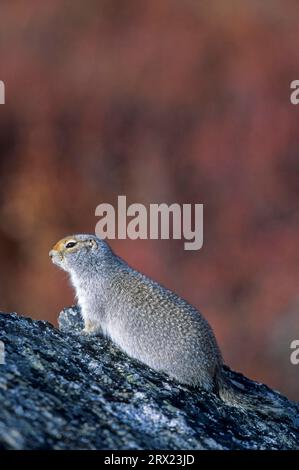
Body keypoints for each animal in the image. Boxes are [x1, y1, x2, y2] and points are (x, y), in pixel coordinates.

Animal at [49, 232, 290, 414]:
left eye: (70, 245)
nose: (50, 254)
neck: (97, 267)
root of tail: (216, 362)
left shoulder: (92, 301)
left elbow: (91, 324)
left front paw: (79, 332)